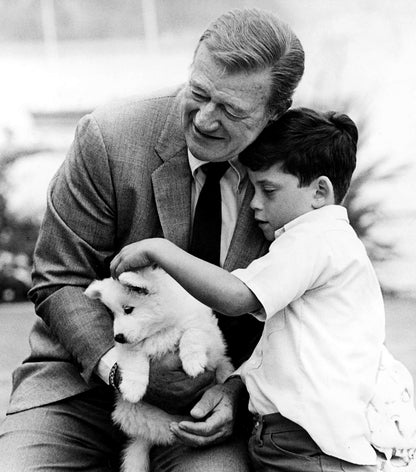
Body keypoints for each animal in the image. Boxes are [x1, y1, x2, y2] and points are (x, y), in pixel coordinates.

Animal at [84, 266, 234, 472]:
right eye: (113, 314)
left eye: (128, 309)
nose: (118, 337)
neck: (159, 331)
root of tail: (154, 435)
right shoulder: (130, 348)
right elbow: (135, 360)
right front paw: (132, 388)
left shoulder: (210, 338)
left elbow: (192, 333)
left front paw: (193, 362)